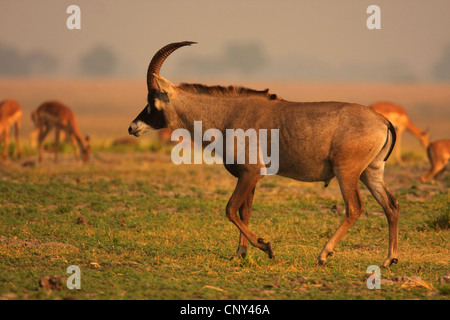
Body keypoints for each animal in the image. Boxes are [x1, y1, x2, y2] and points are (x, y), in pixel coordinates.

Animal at [130, 42, 400, 268]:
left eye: (152, 100)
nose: (133, 127)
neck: (227, 114)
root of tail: (382, 120)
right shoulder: (249, 177)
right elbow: (244, 212)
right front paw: (240, 253)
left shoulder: (250, 173)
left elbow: (230, 209)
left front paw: (265, 247)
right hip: (370, 172)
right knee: (391, 205)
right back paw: (389, 259)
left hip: (347, 172)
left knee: (354, 208)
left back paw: (323, 255)